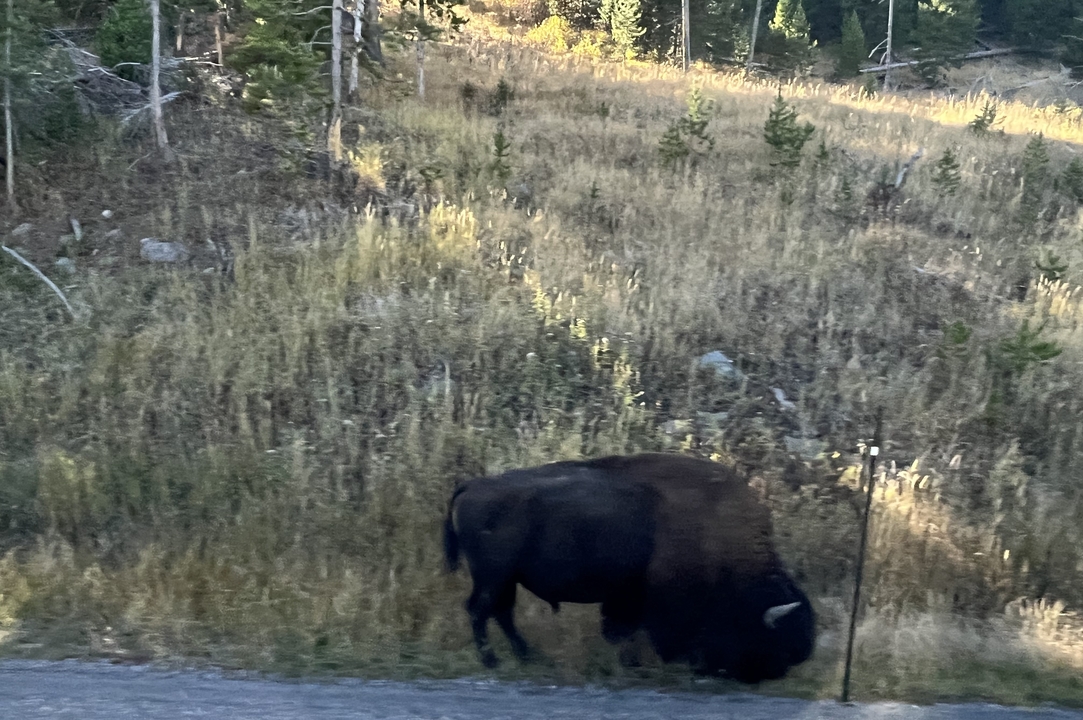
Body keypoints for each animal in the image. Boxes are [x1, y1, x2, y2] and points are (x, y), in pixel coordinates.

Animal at [442, 452, 815, 683]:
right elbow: (636, 632)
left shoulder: (627, 596)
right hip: (494, 576)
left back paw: (528, 658)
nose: (782, 668)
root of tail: (474, 485)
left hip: (505, 579)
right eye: (776, 637)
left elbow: (621, 630)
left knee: (500, 613)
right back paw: (494, 661)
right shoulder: (654, 601)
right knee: (480, 610)